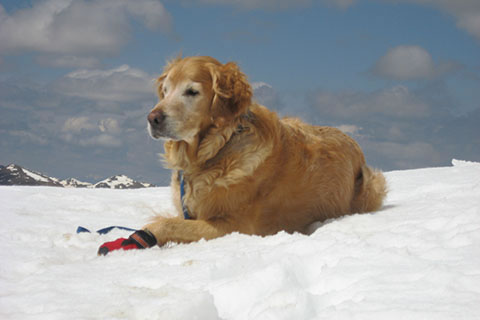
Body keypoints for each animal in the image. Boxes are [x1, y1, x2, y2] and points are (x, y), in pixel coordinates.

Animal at [142, 57, 386, 248]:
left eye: (191, 92)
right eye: (165, 92)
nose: (152, 118)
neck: (217, 149)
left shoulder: (235, 225)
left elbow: (164, 224)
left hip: (371, 182)